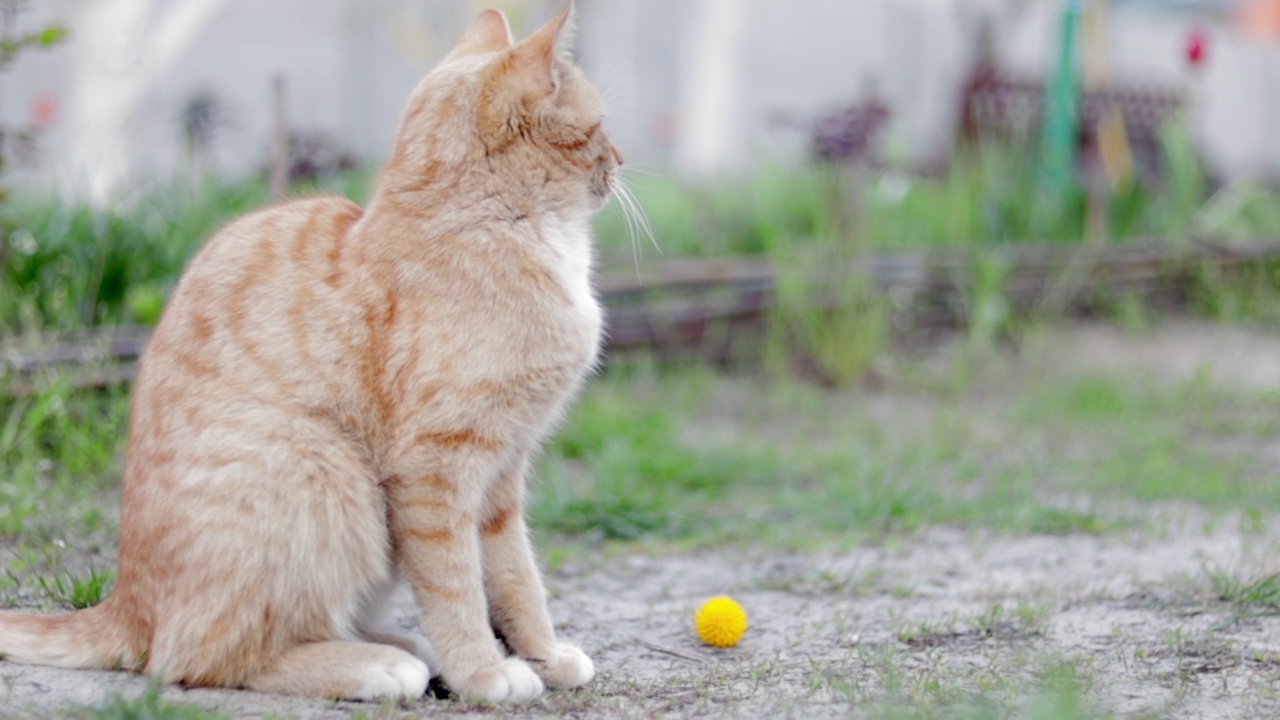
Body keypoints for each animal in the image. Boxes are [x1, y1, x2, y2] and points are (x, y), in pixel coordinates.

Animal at [0, 4, 619, 702]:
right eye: (599, 128)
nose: (620, 162)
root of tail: (124, 603)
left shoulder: (502, 479)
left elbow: (517, 579)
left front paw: (541, 654)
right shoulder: (435, 472)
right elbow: (456, 584)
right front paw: (482, 671)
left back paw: (392, 643)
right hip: (327, 474)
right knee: (197, 656)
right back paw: (378, 665)